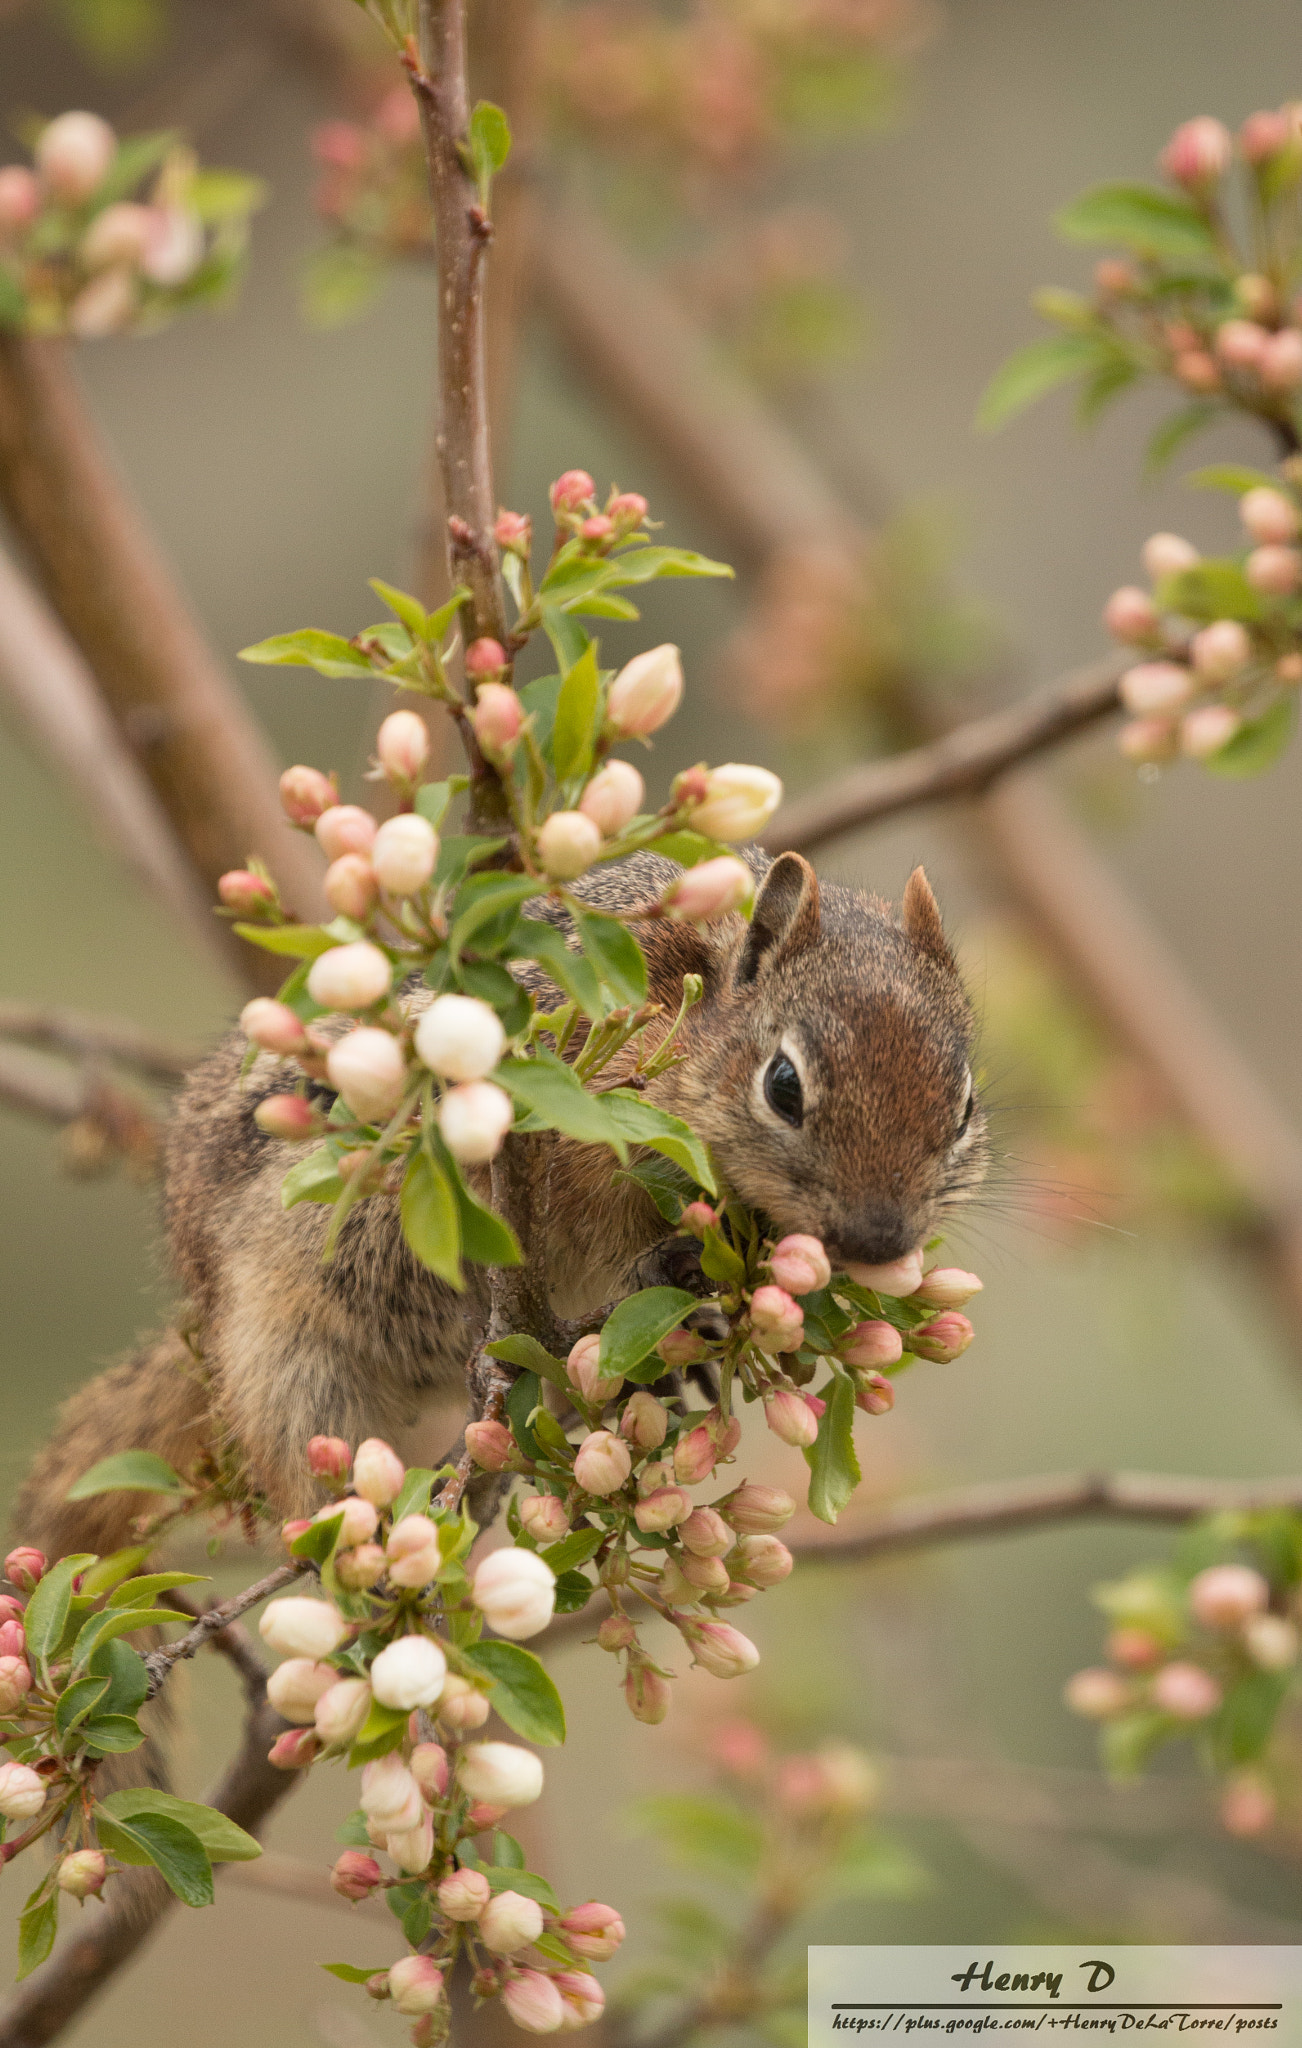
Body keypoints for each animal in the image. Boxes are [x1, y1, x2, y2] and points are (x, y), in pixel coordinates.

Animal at [14, 848, 988, 1564]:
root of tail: (198, 1305)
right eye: (784, 1085)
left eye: (966, 1104)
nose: (878, 1237)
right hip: (289, 1353)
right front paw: (644, 1268)